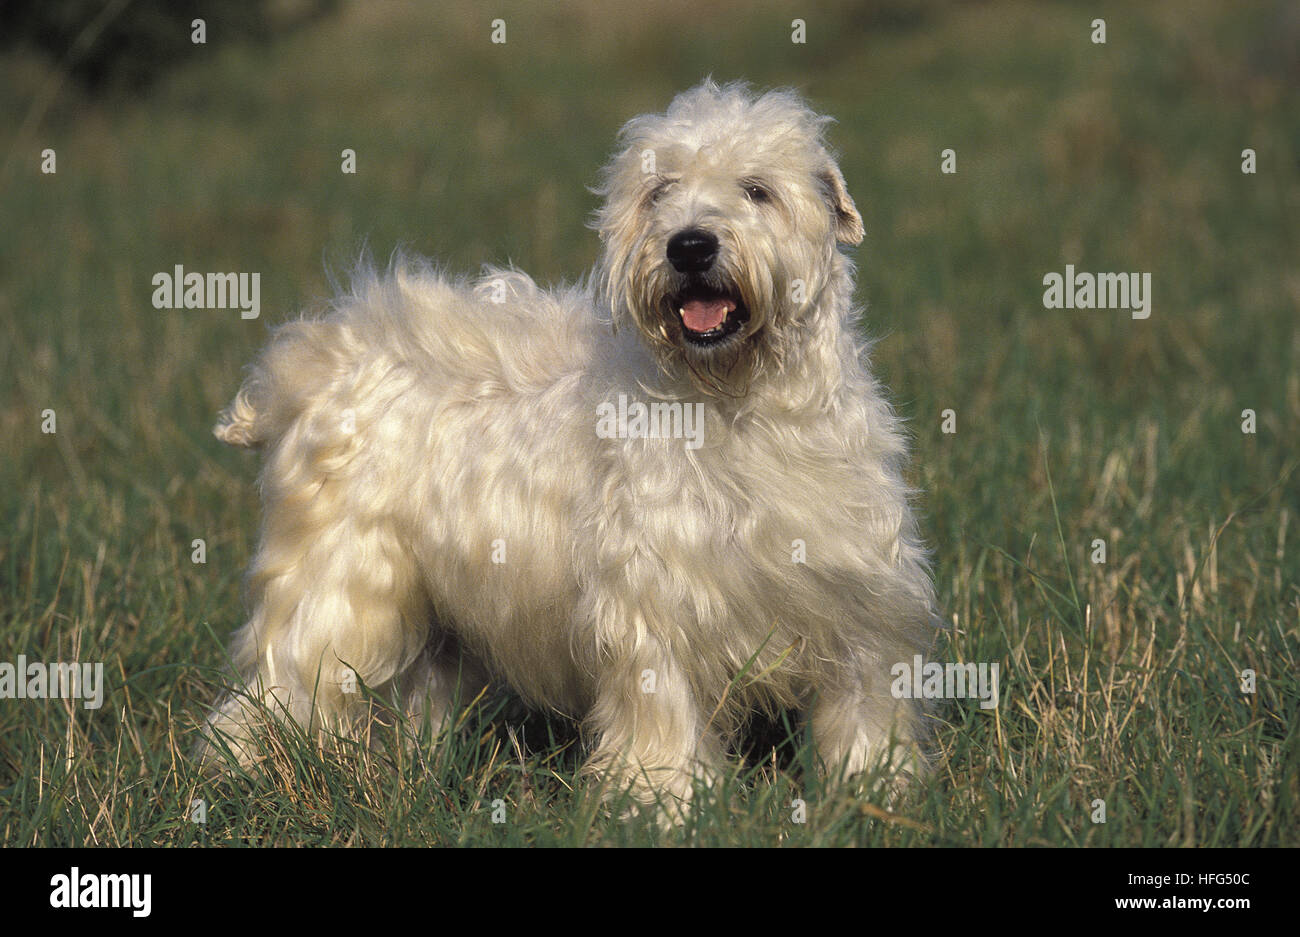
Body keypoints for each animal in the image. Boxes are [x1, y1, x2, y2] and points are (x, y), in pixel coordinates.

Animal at [200, 80, 935, 810]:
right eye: (659, 191)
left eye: (757, 189)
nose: (689, 246)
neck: (740, 406)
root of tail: (320, 352)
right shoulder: (652, 605)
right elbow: (662, 708)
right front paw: (663, 799)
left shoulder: (857, 600)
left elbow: (863, 705)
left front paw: (875, 788)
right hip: (340, 584)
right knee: (282, 683)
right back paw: (257, 774)